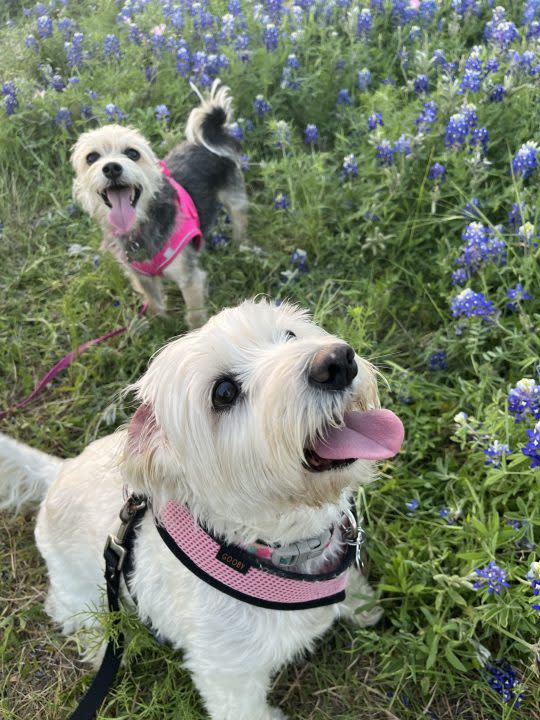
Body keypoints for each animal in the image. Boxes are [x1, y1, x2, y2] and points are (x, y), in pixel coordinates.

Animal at [0, 300, 402, 720]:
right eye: (224, 392)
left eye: (290, 335)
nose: (337, 362)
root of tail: (59, 470)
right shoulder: (228, 676)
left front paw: (362, 606)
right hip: (77, 582)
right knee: (68, 608)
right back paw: (98, 643)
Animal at [71, 80, 247, 328]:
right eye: (91, 157)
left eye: (132, 153)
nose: (112, 167)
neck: (139, 227)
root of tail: (208, 139)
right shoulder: (140, 275)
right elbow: (154, 302)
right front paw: (160, 324)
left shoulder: (190, 278)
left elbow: (195, 316)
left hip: (233, 195)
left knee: (240, 217)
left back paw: (242, 245)